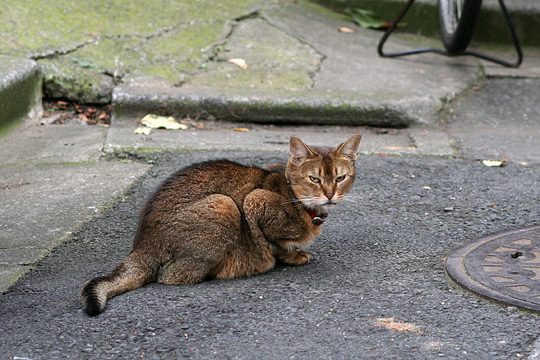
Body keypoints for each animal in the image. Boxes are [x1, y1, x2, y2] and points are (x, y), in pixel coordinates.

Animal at [81, 134, 358, 316]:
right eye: (314, 179)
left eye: (340, 178)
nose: (330, 195)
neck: (294, 195)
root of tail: (143, 244)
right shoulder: (255, 202)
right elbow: (274, 243)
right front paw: (292, 256)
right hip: (223, 205)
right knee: (171, 276)